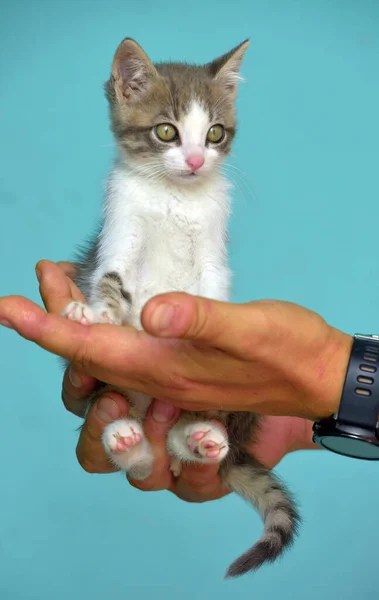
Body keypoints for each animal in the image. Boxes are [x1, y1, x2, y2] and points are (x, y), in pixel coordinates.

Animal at [63, 36, 300, 576]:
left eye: (214, 133)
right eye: (166, 132)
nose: (194, 161)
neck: (176, 197)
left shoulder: (213, 251)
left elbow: (211, 292)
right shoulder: (120, 230)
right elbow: (111, 277)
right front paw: (96, 313)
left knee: (178, 447)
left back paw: (200, 438)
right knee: (148, 459)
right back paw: (127, 439)